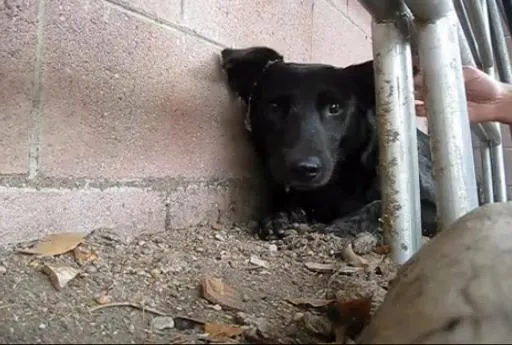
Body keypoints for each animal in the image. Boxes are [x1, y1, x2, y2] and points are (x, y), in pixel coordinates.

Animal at [219, 45, 436, 239]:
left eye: (334, 107)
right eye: (274, 106)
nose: (305, 169)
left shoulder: (430, 206)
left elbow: (381, 207)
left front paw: (346, 225)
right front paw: (280, 217)